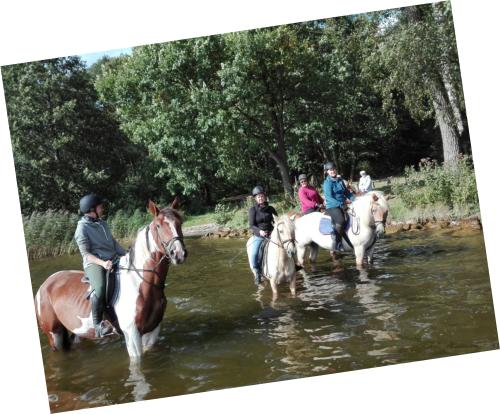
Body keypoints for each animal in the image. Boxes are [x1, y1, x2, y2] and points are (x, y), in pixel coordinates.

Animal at [34, 200, 188, 360]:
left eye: (180, 222)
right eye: (158, 226)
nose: (178, 254)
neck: (143, 284)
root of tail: (44, 286)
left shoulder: (152, 331)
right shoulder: (131, 333)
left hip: (77, 331)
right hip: (54, 334)